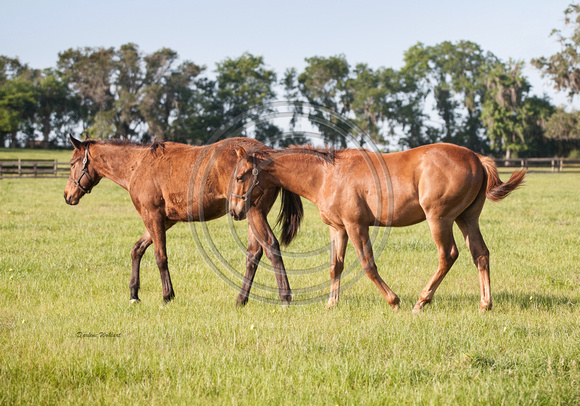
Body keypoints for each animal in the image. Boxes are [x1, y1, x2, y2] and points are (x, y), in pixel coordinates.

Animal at [64, 136, 304, 304]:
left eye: (72, 163)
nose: (67, 196)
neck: (139, 165)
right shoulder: (165, 220)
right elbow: (137, 250)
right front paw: (134, 293)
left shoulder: (153, 216)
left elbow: (160, 257)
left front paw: (167, 295)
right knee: (254, 254)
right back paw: (241, 299)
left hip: (254, 214)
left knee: (271, 247)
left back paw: (285, 296)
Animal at [230, 144, 524, 312]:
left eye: (240, 176)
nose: (235, 211)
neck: (327, 174)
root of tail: (476, 158)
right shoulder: (338, 229)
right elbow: (335, 266)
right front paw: (331, 302)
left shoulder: (356, 226)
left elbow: (368, 265)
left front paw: (393, 301)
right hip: (466, 219)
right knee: (480, 254)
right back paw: (485, 303)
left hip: (439, 219)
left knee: (448, 255)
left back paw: (422, 301)